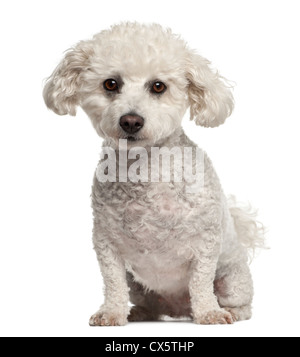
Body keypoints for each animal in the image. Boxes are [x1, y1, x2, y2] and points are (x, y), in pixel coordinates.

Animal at [43, 21, 264, 322]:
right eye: (111, 83)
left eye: (158, 86)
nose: (131, 121)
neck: (144, 170)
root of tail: (178, 309)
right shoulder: (106, 242)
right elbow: (112, 282)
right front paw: (111, 313)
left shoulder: (206, 242)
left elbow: (201, 282)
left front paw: (209, 313)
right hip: (138, 285)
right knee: (146, 301)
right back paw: (139, 312)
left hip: (232, 279)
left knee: (240, 302)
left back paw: (228, 311)